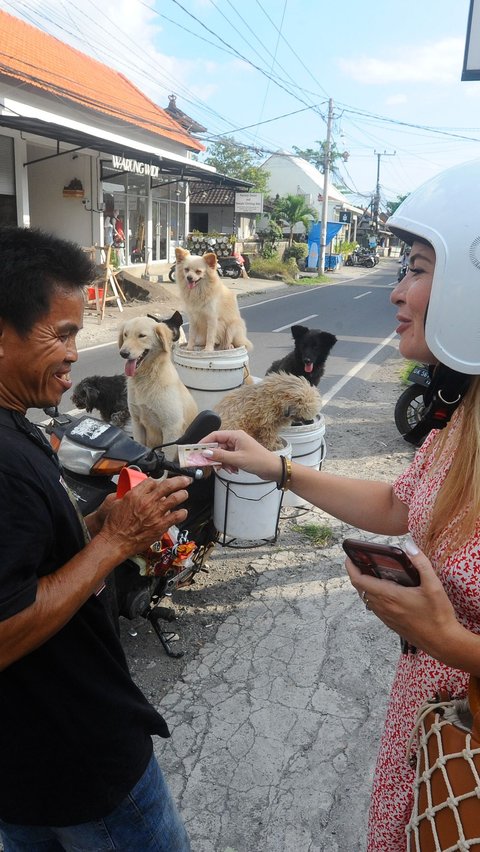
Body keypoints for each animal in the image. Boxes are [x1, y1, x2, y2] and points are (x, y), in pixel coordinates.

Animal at [117, 316, 198, 456]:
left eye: (141, 336)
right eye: (125, 335)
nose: (123, 353)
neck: (147, 378)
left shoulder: (171, 428)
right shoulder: (137, 422)